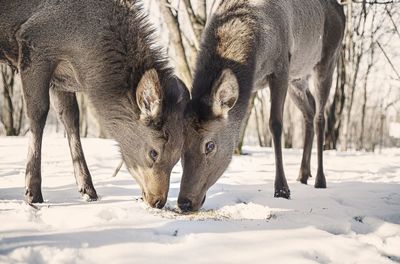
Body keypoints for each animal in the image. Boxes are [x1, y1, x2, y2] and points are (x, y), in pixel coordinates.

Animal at [0, 0, 189, 208]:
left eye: (177, 157)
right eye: (154, 153)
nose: (158, 201)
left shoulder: (61, 79)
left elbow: (71, 119)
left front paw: (88, 189)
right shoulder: (33, 44)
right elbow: (38, 114)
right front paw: (32, 192)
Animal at [177, 0, 344, 211]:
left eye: (210, 145)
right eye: (181, 143)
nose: (184, 202)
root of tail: (341, 10)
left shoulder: (281, 67)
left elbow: (275, 124)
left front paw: (282, 189)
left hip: (328, 59)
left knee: (321, 116)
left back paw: (320, 180)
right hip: (297, 78)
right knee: (310, 109)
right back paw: (303, 174)